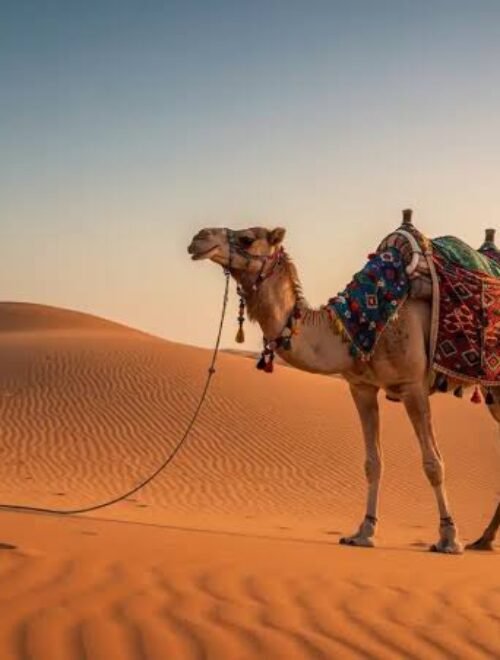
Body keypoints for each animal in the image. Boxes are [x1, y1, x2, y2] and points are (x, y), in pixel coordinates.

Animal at [188, 218, 500, 554]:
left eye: (246, 238)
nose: (199, 238)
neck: (359, 322)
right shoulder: (361, 387)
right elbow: (373, 463)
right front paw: (363, 532)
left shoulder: (412, 385)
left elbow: (433, 463)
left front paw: (449, 537)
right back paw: (483, 540)